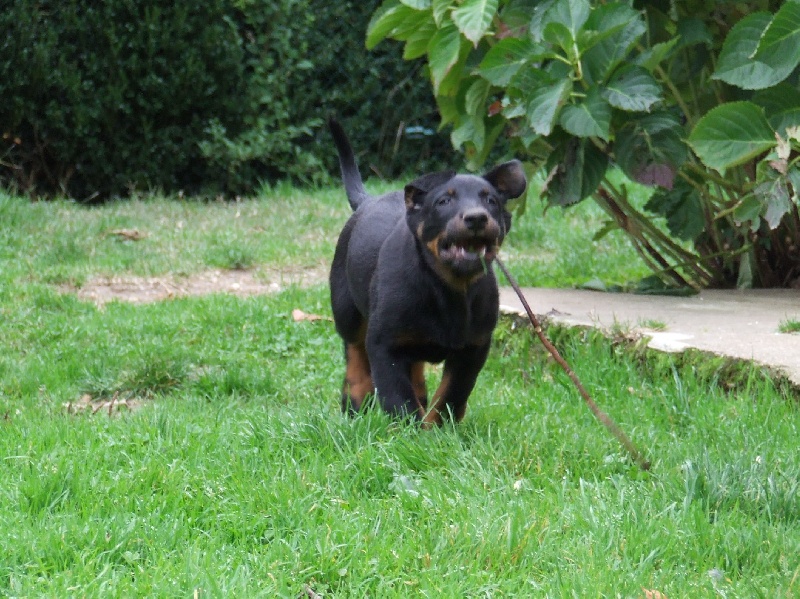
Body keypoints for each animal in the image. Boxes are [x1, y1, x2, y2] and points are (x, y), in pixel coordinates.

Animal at [326, 118, 524, 426]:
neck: (448, 288)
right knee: (354, 352)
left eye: (491, 201)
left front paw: (438, 428)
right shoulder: (384, 343)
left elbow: (451, 394)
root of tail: (366, 202)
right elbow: (398, 397)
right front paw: (411, 431)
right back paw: (355, 402)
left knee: (414, 367)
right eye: (444, 201)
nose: (477, 218)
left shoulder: (474, 347)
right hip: (347, 311)